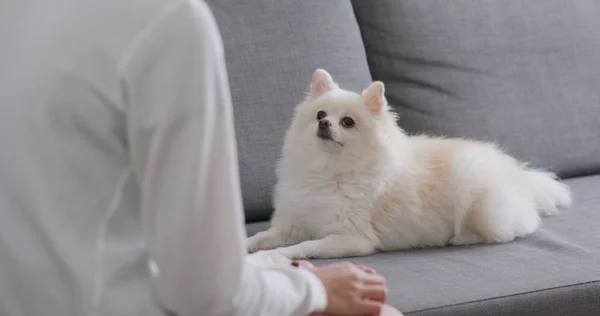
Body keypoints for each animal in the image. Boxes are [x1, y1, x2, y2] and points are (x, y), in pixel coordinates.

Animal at [245, 69, 572, 260]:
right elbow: (263, 237)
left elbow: (301, 248)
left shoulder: (351, 238)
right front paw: (245, 247)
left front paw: (269, 258)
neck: (329, 171)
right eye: (320, 114)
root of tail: (518, 174)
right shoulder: (293, 224)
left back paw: (463, 238)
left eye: (348, 122)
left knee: (516, 228)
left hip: (478, 195)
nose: (324, 124)